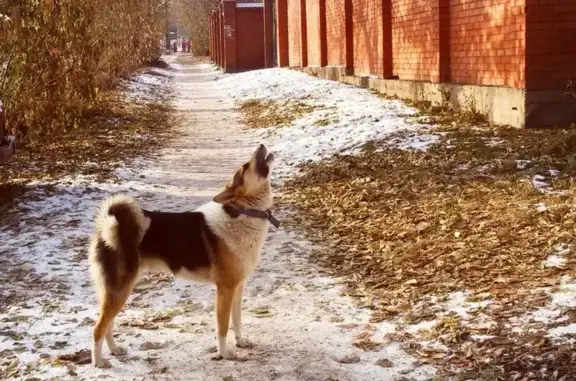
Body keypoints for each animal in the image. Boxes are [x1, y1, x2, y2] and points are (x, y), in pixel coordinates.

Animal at [89, 144, 278, 366]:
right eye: (246, 166)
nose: (261, 146)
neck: (243, 212)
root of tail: (109, 227)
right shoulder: (225, 289)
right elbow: (222, 327)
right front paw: (224, 353)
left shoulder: (238, 287)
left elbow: (237, 320)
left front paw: (240, 342)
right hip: (119, 290)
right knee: (98, 328)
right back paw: (98, 362)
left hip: (116, 291)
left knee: (108, 324)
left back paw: (114, 350)